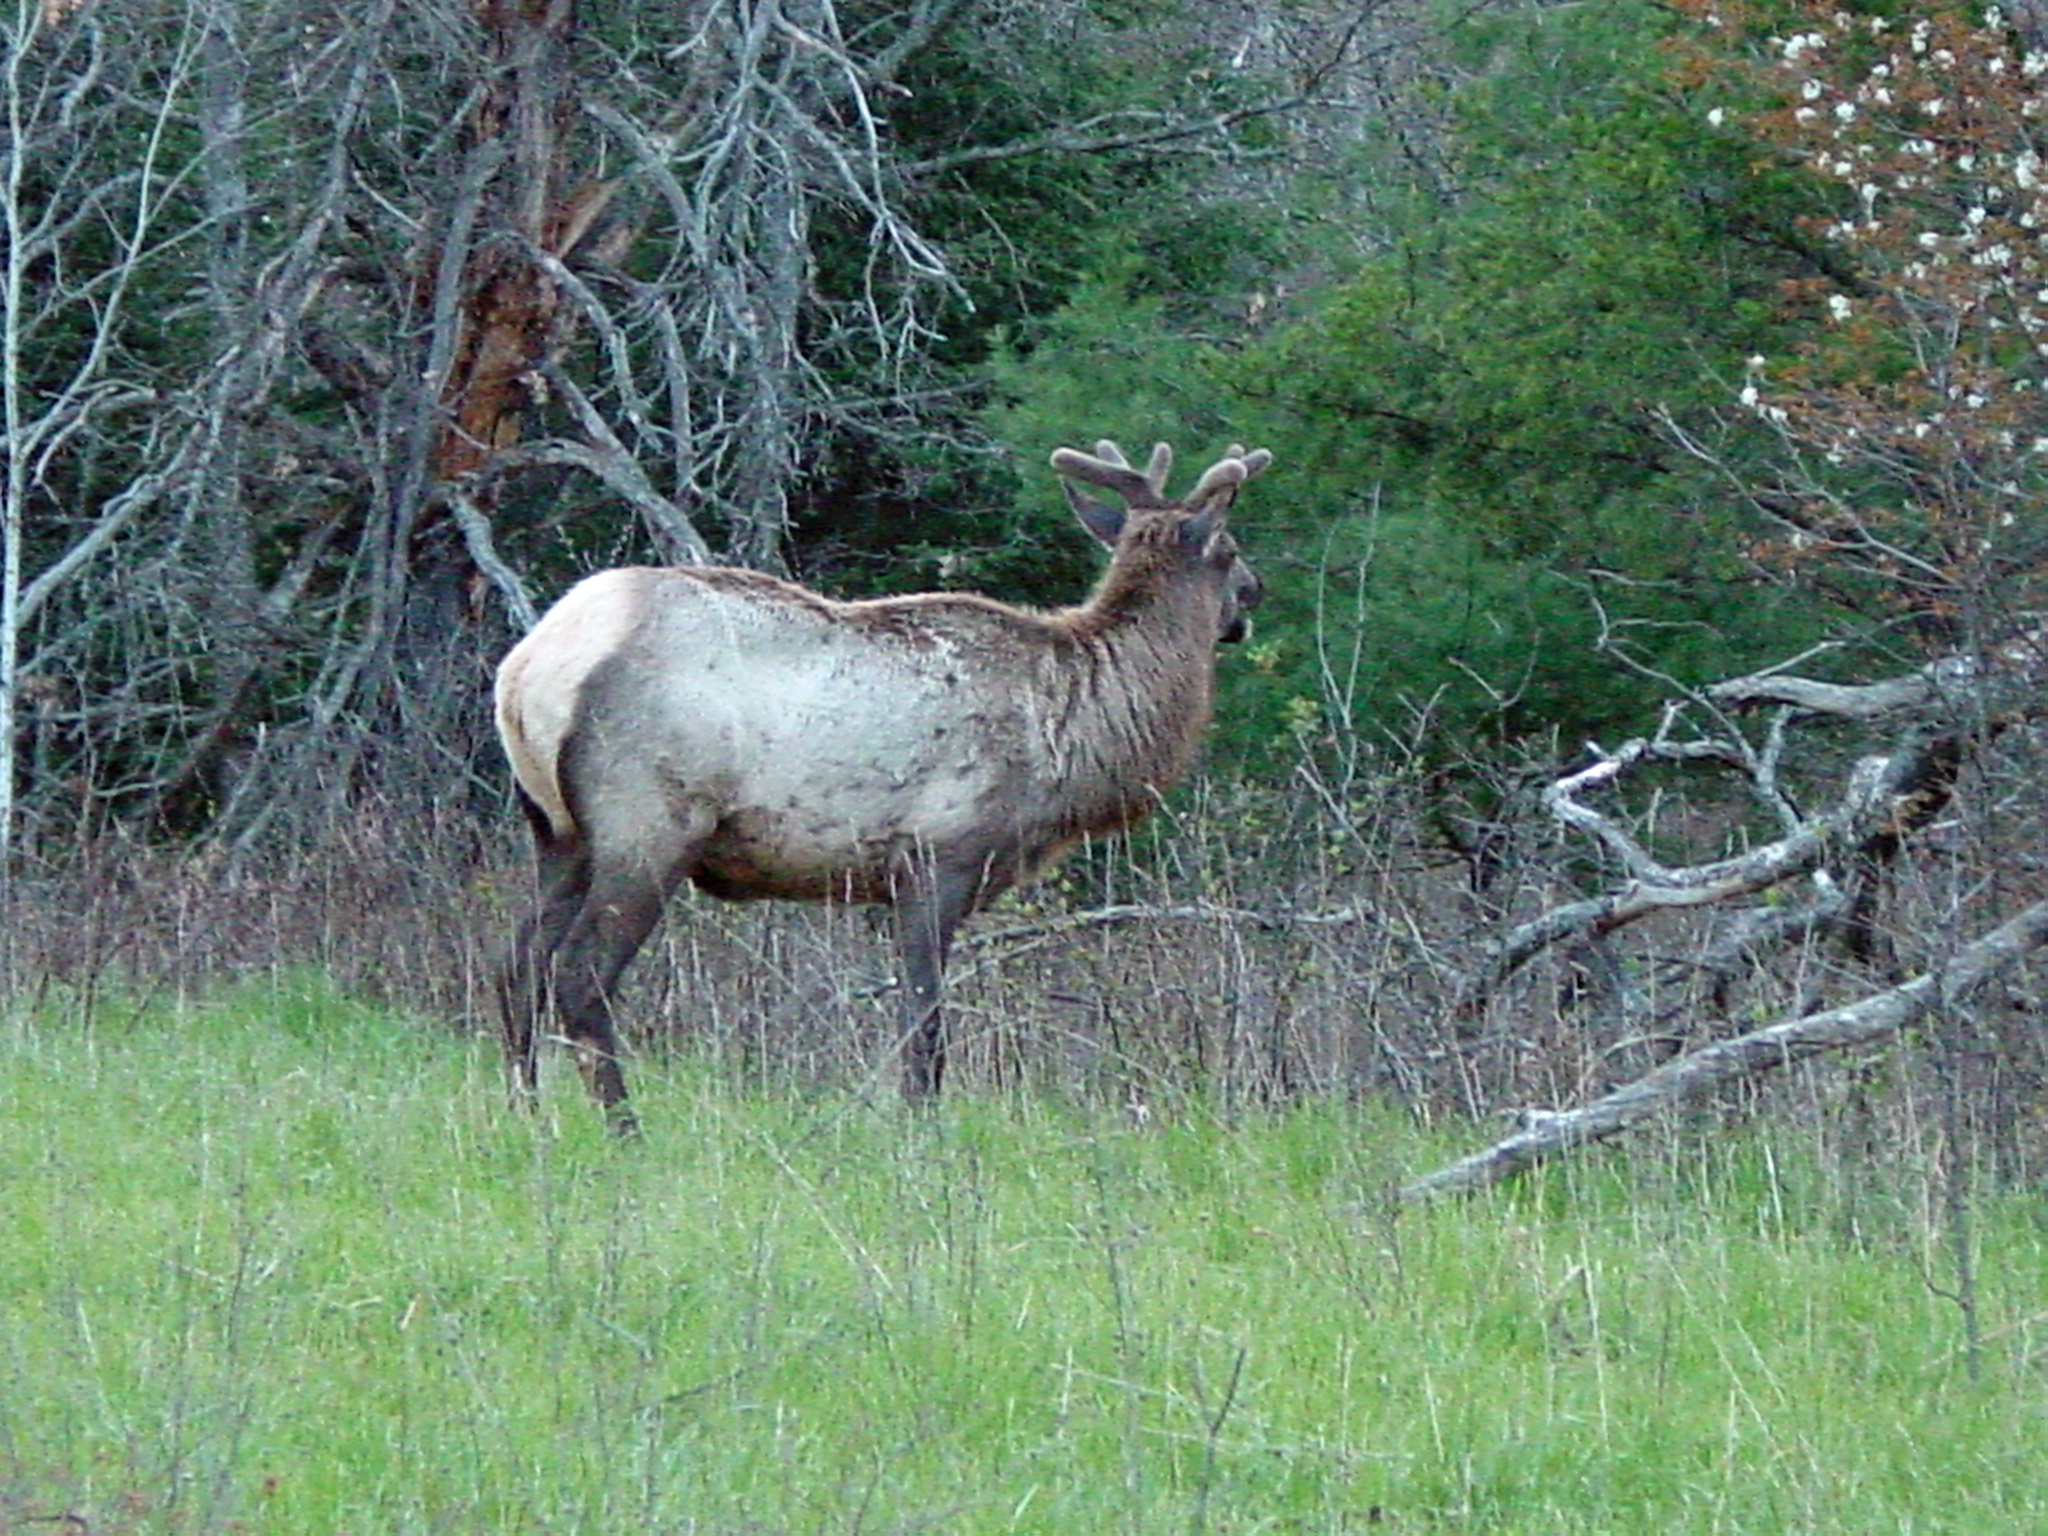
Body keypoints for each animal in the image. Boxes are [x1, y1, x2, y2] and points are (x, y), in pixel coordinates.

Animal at [492, 438, 1271, 1131]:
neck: (1074, 737)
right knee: (581, 972)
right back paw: (624, 1126)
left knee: (518, 965)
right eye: (1229, 551)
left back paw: (528, 1116)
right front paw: (921, 1133)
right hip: (648, 822)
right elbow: (923, 1022)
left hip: (557, 832)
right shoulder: (939, 856)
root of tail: (526, 670)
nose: (1252, 595)